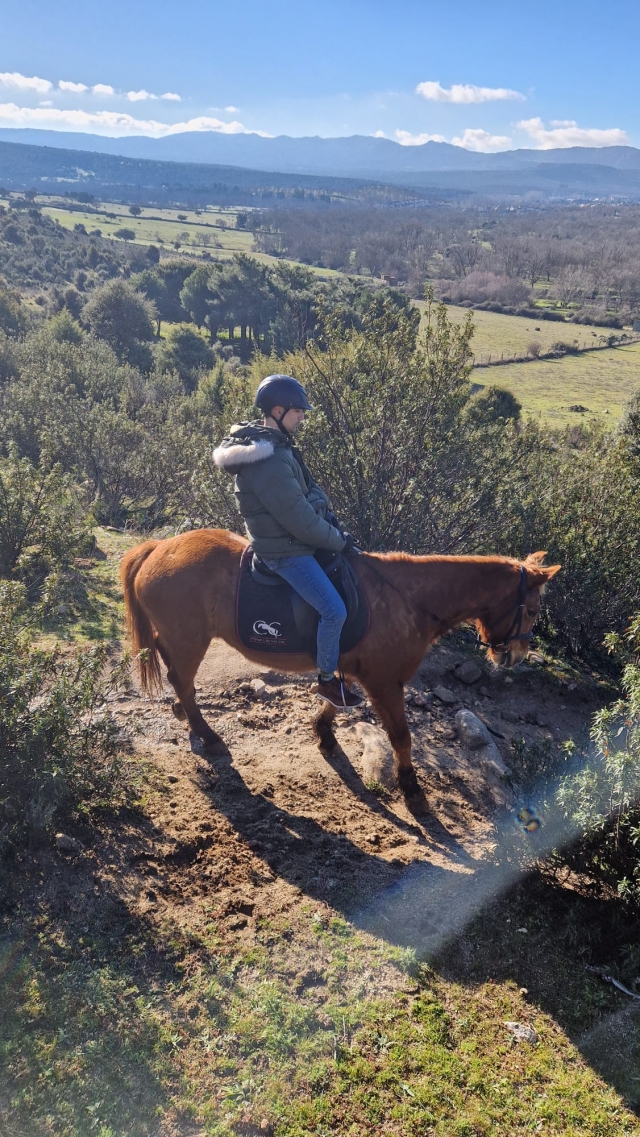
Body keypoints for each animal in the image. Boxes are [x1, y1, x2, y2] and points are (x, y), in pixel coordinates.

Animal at [120, 529, 560, 804]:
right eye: (532, 610)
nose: (515, 656)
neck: (406, 599)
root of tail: (158, 548)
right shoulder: (384, 682)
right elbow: (401, 738)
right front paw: (411, 787)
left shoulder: (354, 670)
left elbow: (333, 701)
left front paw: (325, 735)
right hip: (191, 639)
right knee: (182, 679)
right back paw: (207, 733)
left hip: (181, 638)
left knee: (173, 669)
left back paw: (185, 715)